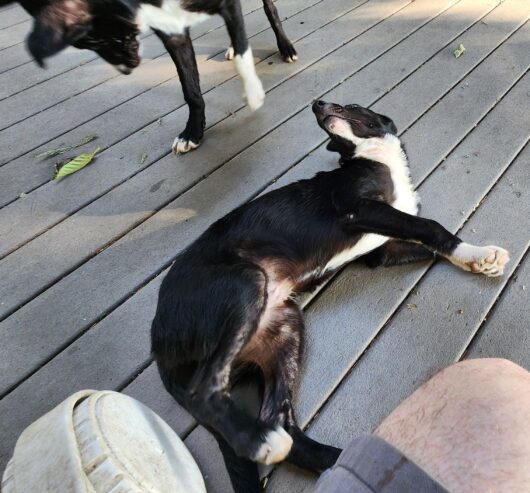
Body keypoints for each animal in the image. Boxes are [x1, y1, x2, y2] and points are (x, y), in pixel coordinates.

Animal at [15, 0, 296, 152]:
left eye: (93, 37)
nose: (127, 68)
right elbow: (190, 89)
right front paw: (192, 131)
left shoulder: (225, 5)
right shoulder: (171, 31)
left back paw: (285, 47)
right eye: (85, 45)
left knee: (269, 10)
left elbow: (242, 53)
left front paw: (252, 92)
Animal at [150, 102, 508, 490]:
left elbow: (431, 240)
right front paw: (472, 252)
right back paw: (260, 440)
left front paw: (475, 256)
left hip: (285, 329)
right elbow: (431, 227)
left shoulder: (381, 251)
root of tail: (158, 343)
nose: (317, 104)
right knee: (205, 390)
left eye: (352, 106)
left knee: (285, 427)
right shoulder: (358, 208)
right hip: (246, 283)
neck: (371, 157)